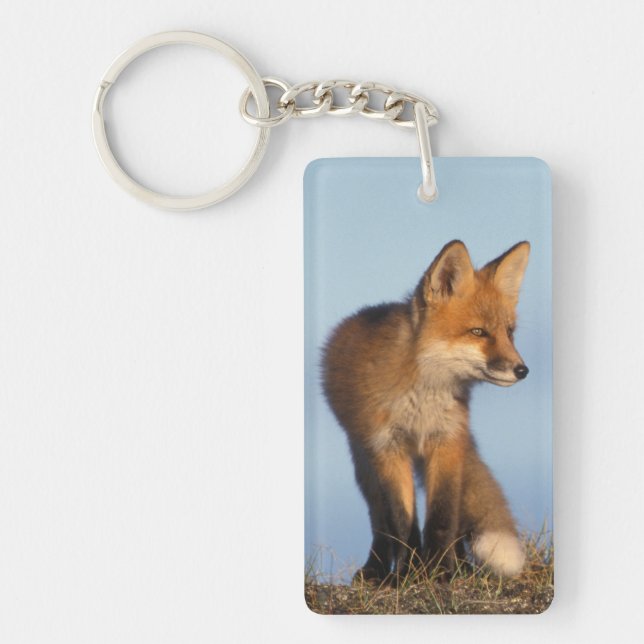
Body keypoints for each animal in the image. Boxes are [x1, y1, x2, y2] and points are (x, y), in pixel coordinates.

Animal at [322, 240, 530, 582]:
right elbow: (402, 521)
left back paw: (460, 566)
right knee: (380, 521)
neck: (422, 397)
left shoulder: (446, 441)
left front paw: (441, 571)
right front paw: (410, 575)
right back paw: (378, 570)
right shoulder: (387, 447)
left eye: (509, 333)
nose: (522, 370)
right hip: (364, 462)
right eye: (478, 332)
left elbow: (443, 517)